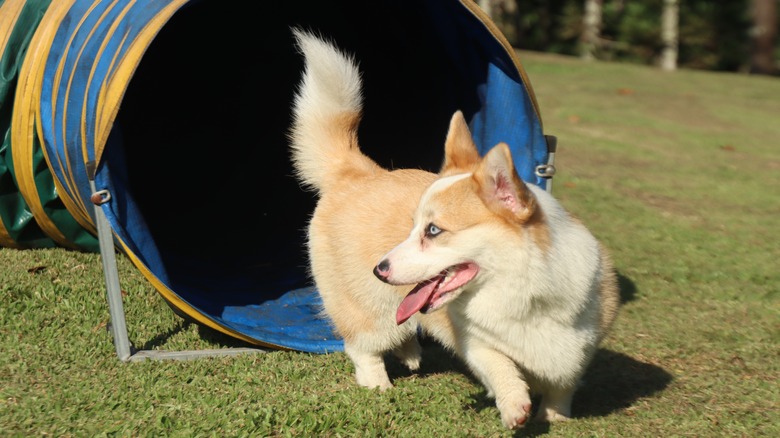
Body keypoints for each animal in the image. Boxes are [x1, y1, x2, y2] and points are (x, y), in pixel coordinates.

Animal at [288, 29, 620, 430]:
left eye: (432, 230)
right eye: (415, 226)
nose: (379, 269)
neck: (523, 290)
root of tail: (357, 170)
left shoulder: (579, 349)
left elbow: (562, 385)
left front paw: (556, 415)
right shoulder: (475, 341)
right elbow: (500, 364)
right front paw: (515, 406)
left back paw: (411, 352)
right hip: (369, 310)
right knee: (363, 346)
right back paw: (378, 383)